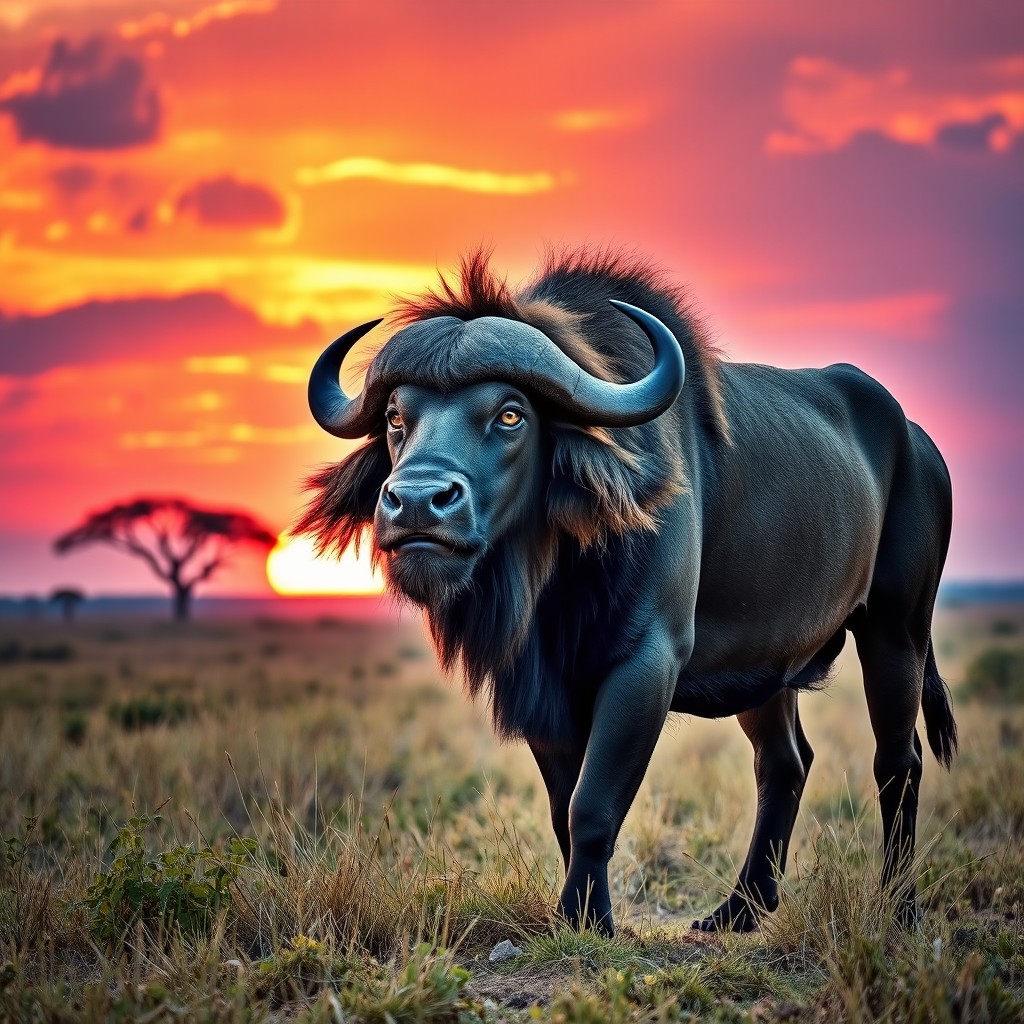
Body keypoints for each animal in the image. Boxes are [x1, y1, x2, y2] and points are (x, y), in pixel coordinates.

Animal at [299, 249, 956, 935]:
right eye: (397, 417)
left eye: (511, 414)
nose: (417, 502)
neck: (559, 579)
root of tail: (917, 440)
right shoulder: (546, 685)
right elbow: (563, 808)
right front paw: (579, 913)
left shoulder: (646, 664)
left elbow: (592, 805)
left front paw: (587, 917)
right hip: (768, 667)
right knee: (785, 763)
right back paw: (738, 911)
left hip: (896, 630)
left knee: (898, 762)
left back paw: (898, 906)